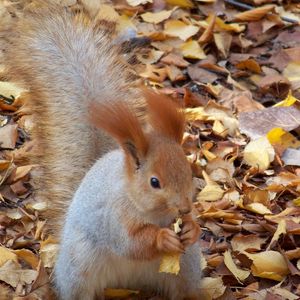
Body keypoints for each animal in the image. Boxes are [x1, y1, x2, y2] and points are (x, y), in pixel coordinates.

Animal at [3, 1, 202, 298]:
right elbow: (131, 243)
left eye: (189, 171)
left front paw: (190, 228)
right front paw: (162, 238)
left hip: (187, 267)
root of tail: (128, 282)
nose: (185, 208)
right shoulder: (112, 216)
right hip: (79, 267)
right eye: (154, 182)